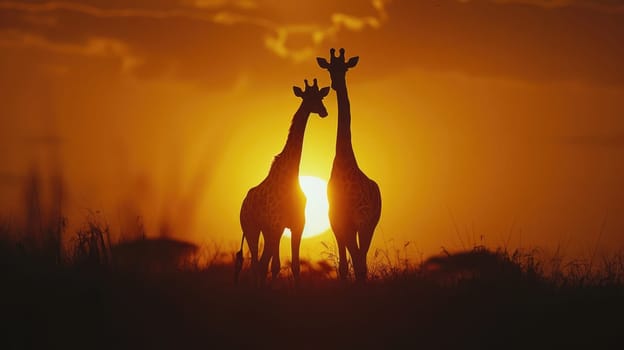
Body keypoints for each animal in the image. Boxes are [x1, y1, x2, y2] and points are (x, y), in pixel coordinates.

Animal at [235, 78, 332, 286]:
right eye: (309, 97)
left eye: (320, 96)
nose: (324, 112)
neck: (291, 175)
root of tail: (243, 204)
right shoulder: (277, 224)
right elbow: (274, 265)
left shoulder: (297, 224)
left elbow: (293, 266)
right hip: (251, 228)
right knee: (255, 263)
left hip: (265, 230)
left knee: (261, 262)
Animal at [320, 47, 382, 282]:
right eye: (329, 68)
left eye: (345, 68)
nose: (336, 84)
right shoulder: (340, 219)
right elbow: (347, 262)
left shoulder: (348, 219)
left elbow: (350, 260)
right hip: (363, 224)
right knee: (359, 256)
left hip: (366, 222)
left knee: (359, 256)